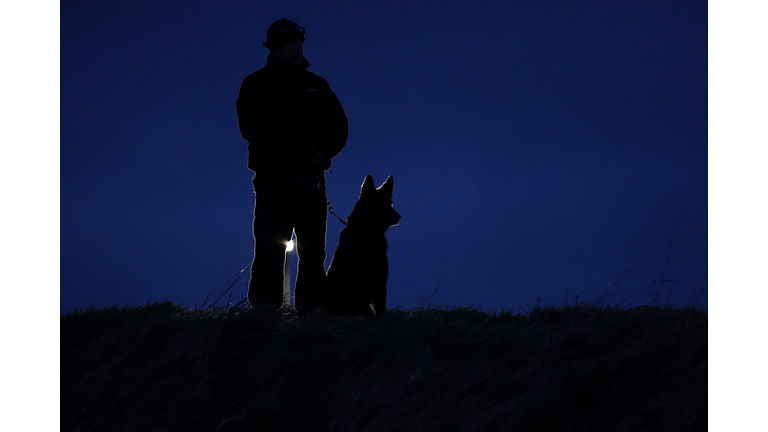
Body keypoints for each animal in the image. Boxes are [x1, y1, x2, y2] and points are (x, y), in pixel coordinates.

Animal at [320, 173, 402, 318]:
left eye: (390, 203)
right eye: (380, 203)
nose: (399, 217)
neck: (367, 235)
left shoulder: (380, 282)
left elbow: (381, 309)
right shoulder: (354, 283)